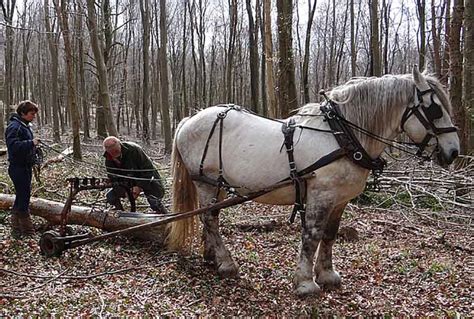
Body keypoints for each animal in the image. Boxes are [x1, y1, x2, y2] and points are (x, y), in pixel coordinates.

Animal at [166, 67, 460, 298]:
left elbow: (329, 235)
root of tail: (188, 120)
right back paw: (226, 263)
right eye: (434, 109)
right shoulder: (321, 195)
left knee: (209, 217)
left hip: (214, 184)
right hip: (204, 182)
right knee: (210, 219)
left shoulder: (339, 200)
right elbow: (312, 235)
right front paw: (306, 283)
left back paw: (211, 256)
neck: (342, 135)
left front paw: (327, 275)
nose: (454, 151)